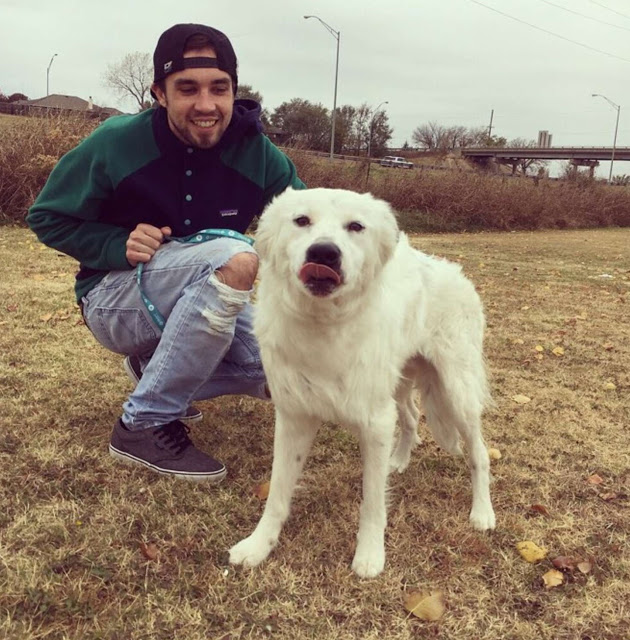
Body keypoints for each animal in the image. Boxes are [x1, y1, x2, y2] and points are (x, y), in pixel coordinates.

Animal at [230, 188, 496, 576]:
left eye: (355, 226)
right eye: (301, 221)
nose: (324, 253)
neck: (324, 324)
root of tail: (454, 272)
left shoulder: (374, 423)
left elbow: (372, 501)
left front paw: (370, 555)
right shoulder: (295, 418)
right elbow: (277, 493)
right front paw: (259, 545)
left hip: (456, 391)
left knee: (479, 453)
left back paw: (482, 512)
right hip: (399, 386)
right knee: (412, 418)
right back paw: (398, 460)